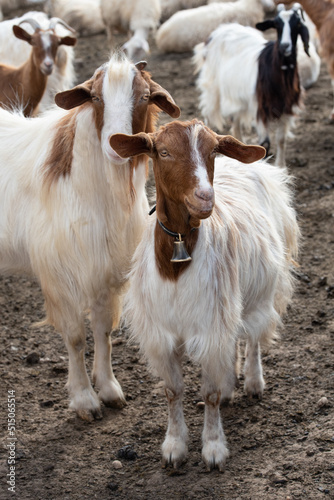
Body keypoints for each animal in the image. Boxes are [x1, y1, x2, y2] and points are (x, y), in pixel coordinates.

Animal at [0, 51, 180, 422]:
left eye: (144, 97)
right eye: (96, 98)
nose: (116, 146)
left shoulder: (107, 268)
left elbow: (102, 330)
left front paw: (109, 389)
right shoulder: (60, 274)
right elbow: (74, 337)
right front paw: (84, 399)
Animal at [110, 119, 300, 470]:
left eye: (212, 150)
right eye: (164, 151)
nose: (204, 197)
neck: (176, 265)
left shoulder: (210, 327)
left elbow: (208, 394)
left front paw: (213, 448)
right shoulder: (163, 334)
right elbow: (173, 391)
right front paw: (174, 446)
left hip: (259, 292)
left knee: (253, 336)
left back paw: (253, 381)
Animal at [193, 3, 310, 166]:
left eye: (297, 24)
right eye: (276, 24)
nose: (285, 46)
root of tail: (216, 32)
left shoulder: (286, 108)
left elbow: (281, 140)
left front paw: (281, 167)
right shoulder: (259, 108)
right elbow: (265, 144)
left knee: (235, 123)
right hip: (212, 86)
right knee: (208, 112)